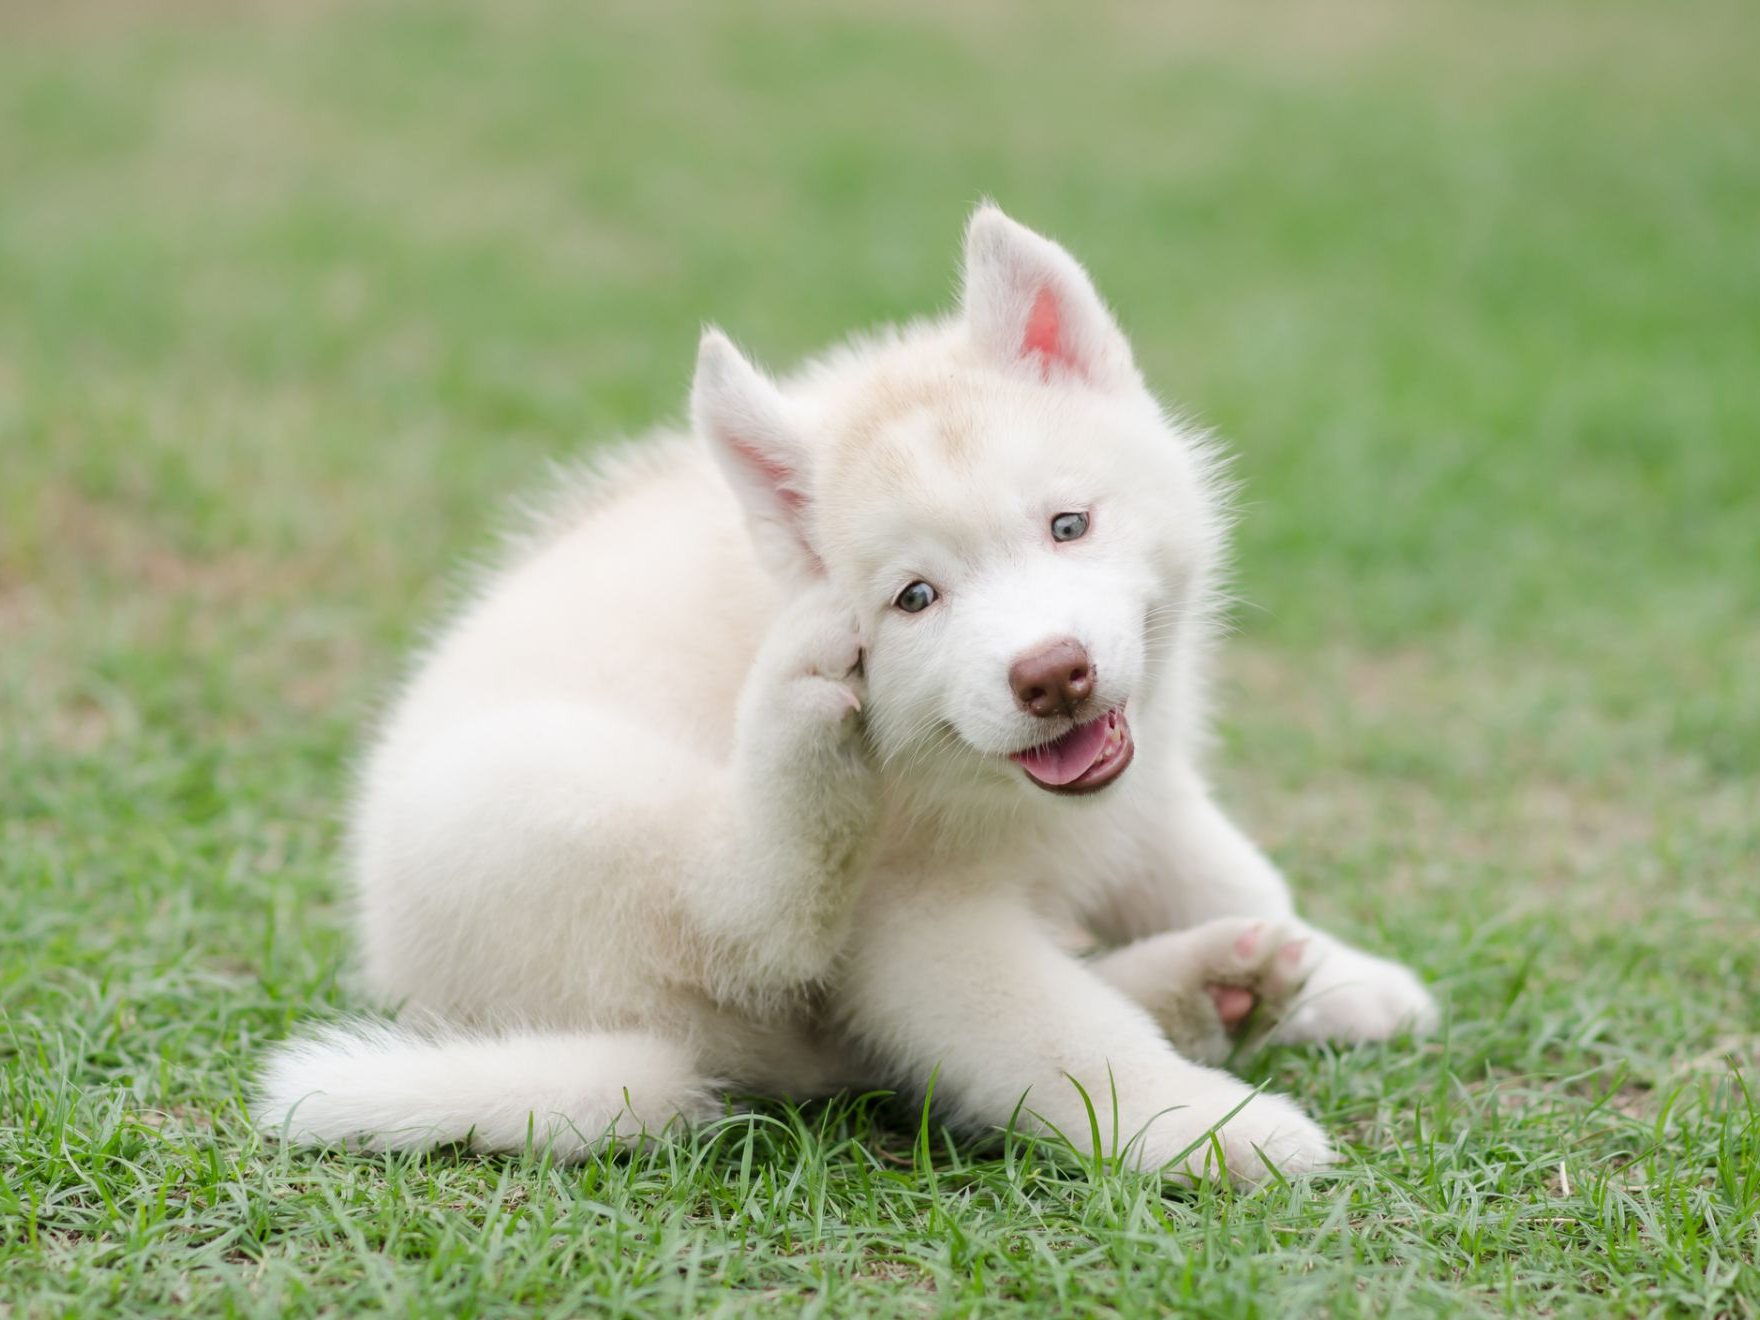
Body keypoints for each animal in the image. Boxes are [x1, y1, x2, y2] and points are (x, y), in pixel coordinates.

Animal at [264, 209, 1443, 1189]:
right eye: (914, 599)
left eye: (1067, 525)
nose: (1050, 672)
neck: (982, 787)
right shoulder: (917, 924)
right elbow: (1059, 1038)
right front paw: (1209, 1127)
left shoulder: (1142, 786)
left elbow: (1225, 872)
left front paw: (1337, 973)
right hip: (534, 792)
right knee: (751, 924)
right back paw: (798, 730)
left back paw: (1213, 987)